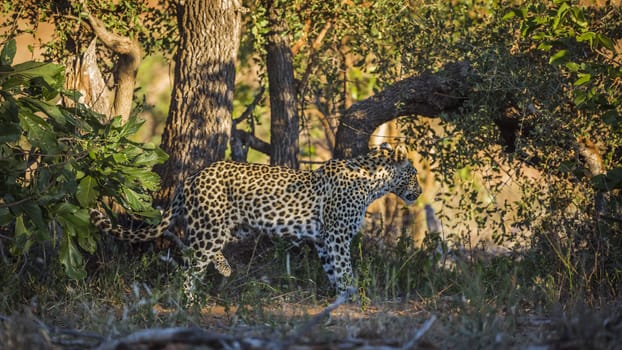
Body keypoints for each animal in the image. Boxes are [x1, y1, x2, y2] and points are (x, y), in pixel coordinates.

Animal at [91, 144, 424, 300]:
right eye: (414, 173)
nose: (420, 192)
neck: (374, 183)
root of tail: (192, 176)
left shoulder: (324, 239)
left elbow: (334, 270)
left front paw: (342, 299)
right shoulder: (337, 236)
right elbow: (345, 270)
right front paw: (352, 298)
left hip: (224, 226)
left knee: (194, 251)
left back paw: (223, 268)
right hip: (211, 226)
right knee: (190, 263)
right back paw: (190, 301)